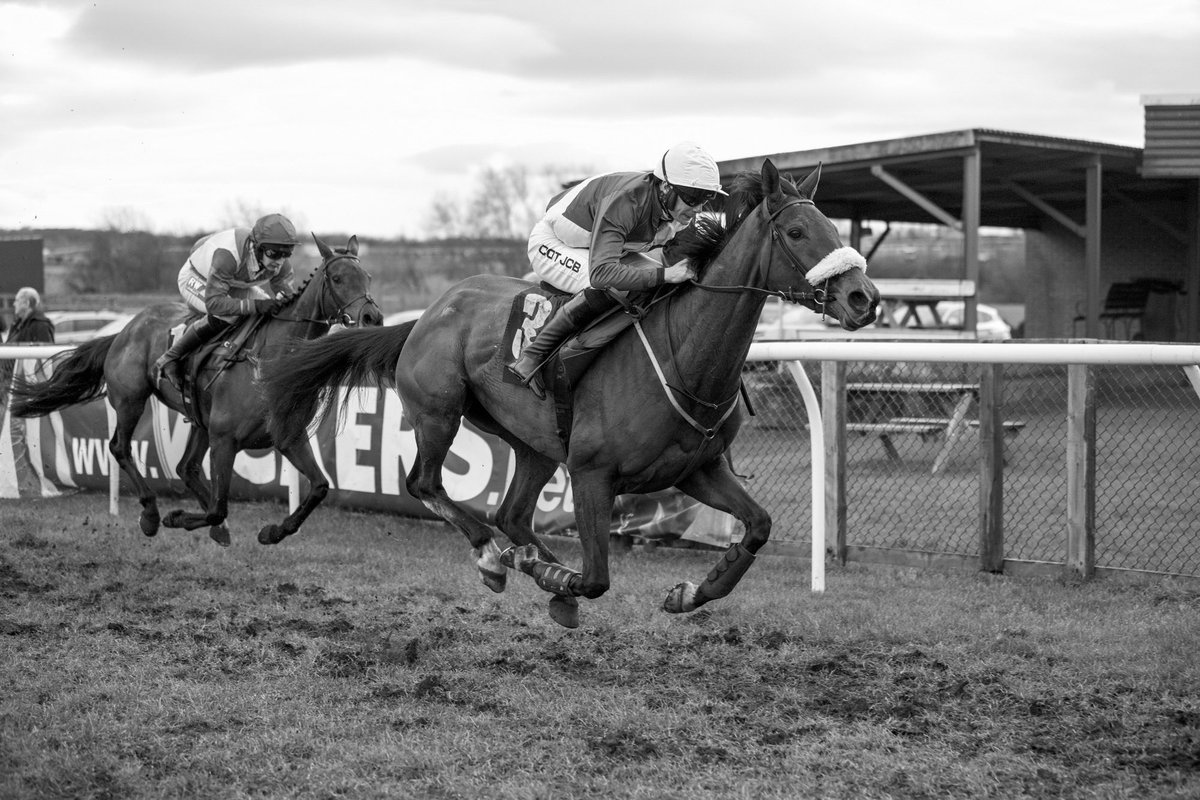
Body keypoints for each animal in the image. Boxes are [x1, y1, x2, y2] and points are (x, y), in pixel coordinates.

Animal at [8, 235, 384, 546]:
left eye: (367, 277)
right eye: (337, 279)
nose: (372, 318)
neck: (270, 358)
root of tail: (123, 330)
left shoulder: (288, 436)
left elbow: (319, 487)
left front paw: (273, 532)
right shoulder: (225, 439)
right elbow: (219, 506)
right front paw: (177, 518)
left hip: (200, 421)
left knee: (185, 467)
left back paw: (215, 529)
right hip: (131, 400)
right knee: (120, 447)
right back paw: (151, 514)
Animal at [265, 160, 883, 623]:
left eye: (834, 228)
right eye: (797, 232)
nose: (864, 298)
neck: (684, 356)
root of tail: (427, 315)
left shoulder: (698, 470)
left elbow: (758, 524)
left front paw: (690, 592)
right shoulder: (592, 475)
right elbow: (597, 577)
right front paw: (551, 575)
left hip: (533, 444)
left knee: (514, 514)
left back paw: (526, 562)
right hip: (438, 414)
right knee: (428, 484)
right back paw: (494, 557)